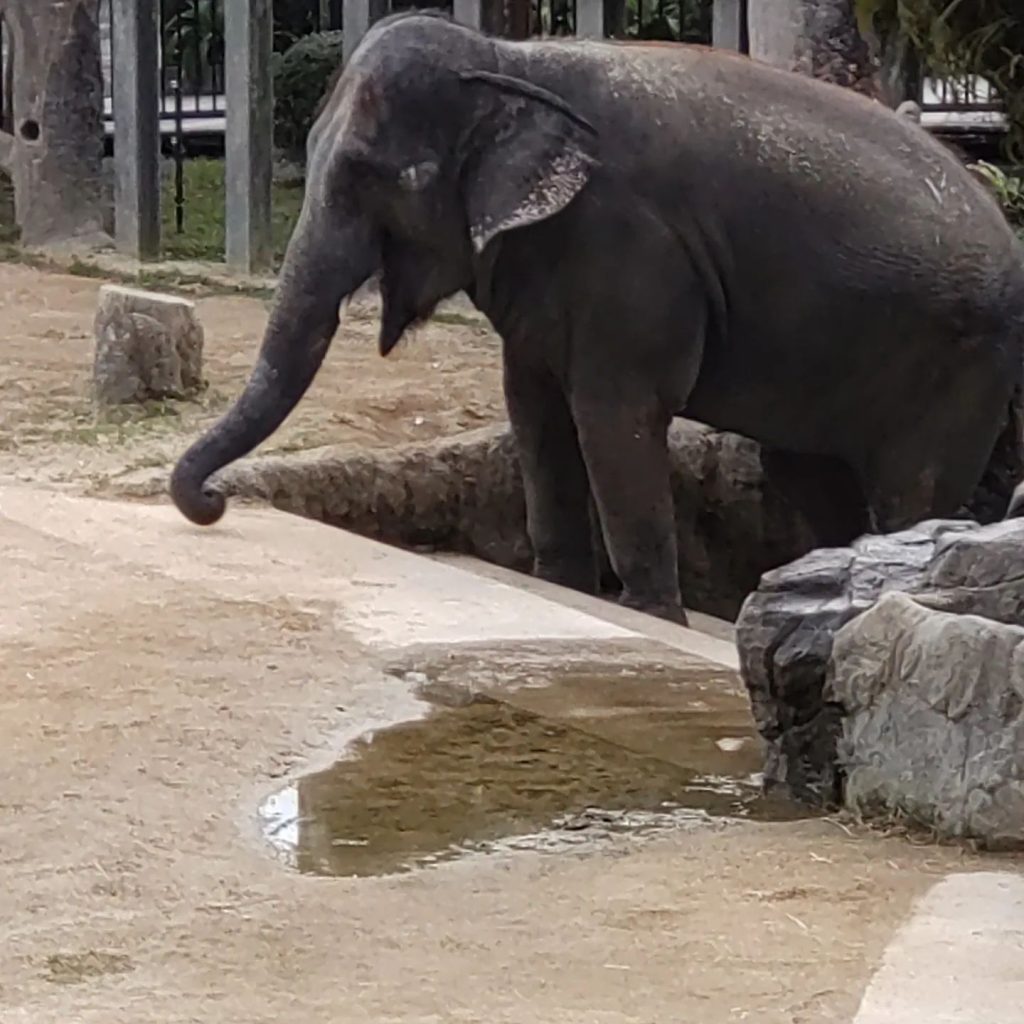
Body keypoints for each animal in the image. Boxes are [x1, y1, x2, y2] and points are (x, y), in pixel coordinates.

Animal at [169, 12, 1024, 622]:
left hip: (958, 369)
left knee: (911, 494)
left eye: (376, 178)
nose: (215, 503)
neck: (513, 63)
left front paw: (649, 615)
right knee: (808, 475)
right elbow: (535, 409)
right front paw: (562, 586)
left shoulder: (633, 253)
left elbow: (613, 417)